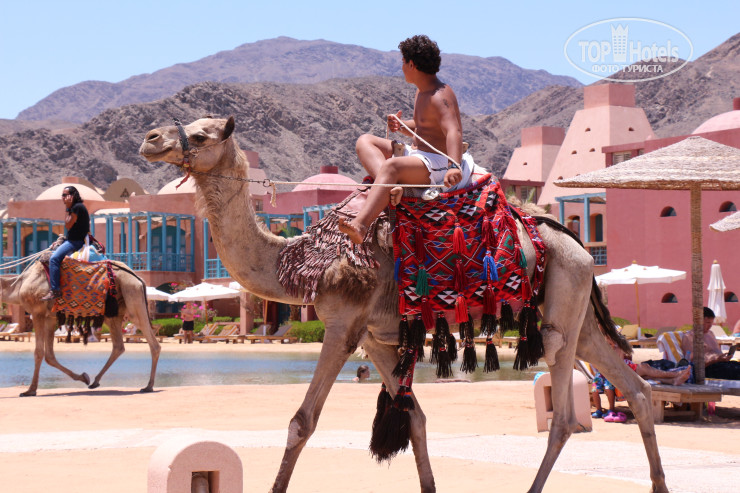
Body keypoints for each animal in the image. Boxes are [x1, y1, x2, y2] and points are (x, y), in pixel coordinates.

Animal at [0, 260, 161, 396]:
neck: (19, 286)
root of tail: (139, 280)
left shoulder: (37, 312)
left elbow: (39, 353)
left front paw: (30, 390)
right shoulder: (50, 318)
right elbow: (49, 356)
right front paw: (84, 377)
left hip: (133, 297)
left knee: (153, 343)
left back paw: (148, 386)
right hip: (114, 313)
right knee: (118, 346)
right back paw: (95, 382)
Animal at [140, 117, 668, 493]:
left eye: (201, 133)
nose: (150, 138)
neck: (304, 260)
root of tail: (575, 243)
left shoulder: (342, 327)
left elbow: (301, 423)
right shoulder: (375, 337)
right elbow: (413, 418)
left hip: (562, 310)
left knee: (561, 415)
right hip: (583, 318)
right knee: (638, 391)